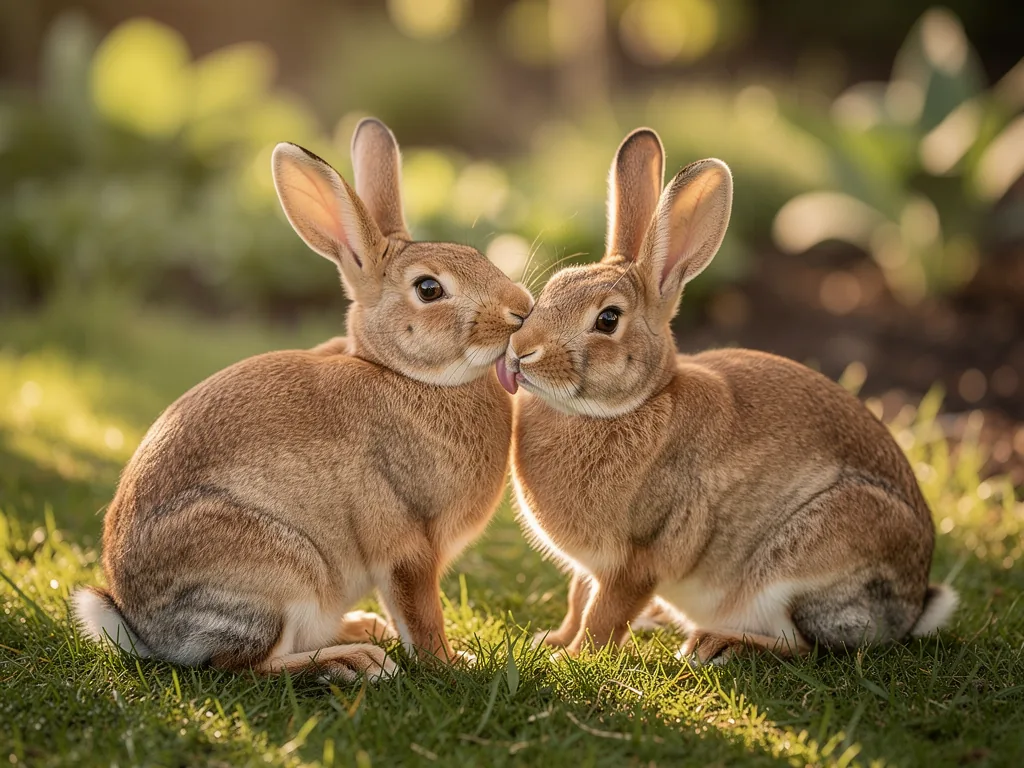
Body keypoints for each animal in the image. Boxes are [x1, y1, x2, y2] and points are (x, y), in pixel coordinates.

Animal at [72, 118, 534, 682]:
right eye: (429, 289)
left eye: (478, 257)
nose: (521, 309)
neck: (404, 373)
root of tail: (140, 627)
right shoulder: (407, 544)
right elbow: (420, 614)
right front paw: (452, 664)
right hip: (278, 573)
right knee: (244, 665)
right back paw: (358, 661)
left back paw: (361, 629)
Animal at [497, 128, 957, 666]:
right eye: (552, 288)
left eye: (608, 320)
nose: (521, 352)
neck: (632, 404)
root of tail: (912, 606)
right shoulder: (590, 568)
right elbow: (577, 599)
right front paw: (550, 641)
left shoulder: (638, 559)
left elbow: (605, 614)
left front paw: (571, 659)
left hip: (806, 557)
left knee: (804, 646)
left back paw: (712, 644)